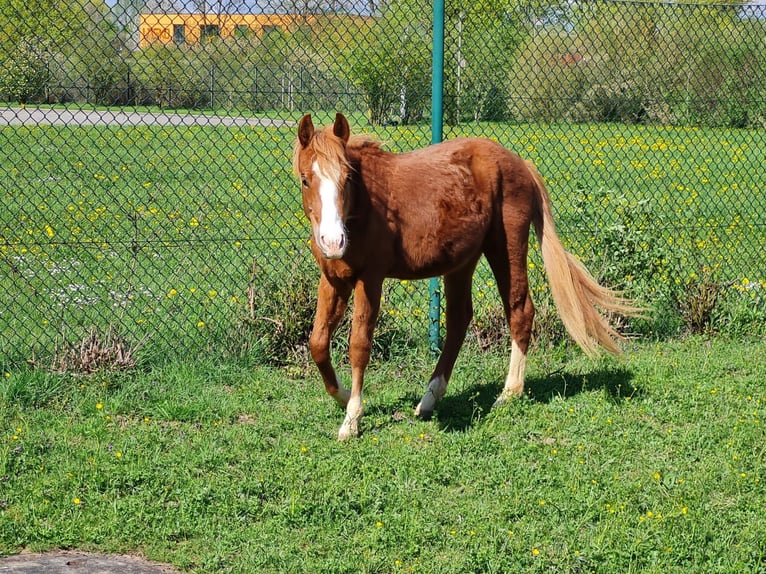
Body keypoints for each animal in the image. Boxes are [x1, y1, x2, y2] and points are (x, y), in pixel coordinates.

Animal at [293, 113, 639, 440]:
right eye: (306, 180)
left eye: (347, 177)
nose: (333, 242)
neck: (365, 205)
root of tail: (521, 165)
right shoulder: (333, 279)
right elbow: (318, 342)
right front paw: (343, 396)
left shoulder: (370, 280)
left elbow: (359, 345)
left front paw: (352, 419)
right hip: (462, 262)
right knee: (460, 319)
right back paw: (430, 399)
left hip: (505, 247)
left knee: (520, 310)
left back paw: (508, 393)